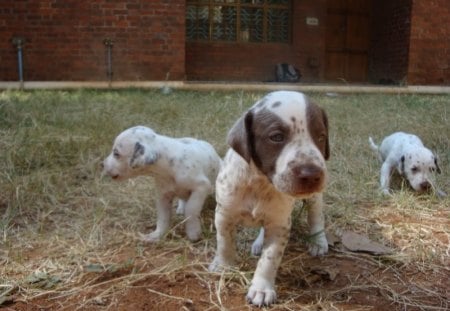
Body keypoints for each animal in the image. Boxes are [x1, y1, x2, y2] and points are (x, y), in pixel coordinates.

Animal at [208, 90, 330, 308]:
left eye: (321, 136)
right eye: (276, 137)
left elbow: (270, 259)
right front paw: (223, 265)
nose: (311, 174)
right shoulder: (224, 213)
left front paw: (261, 289)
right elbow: (224, 242)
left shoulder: (279, 224)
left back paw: (318, 240)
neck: (260, 182)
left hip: (314, 196)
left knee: (316, 214)